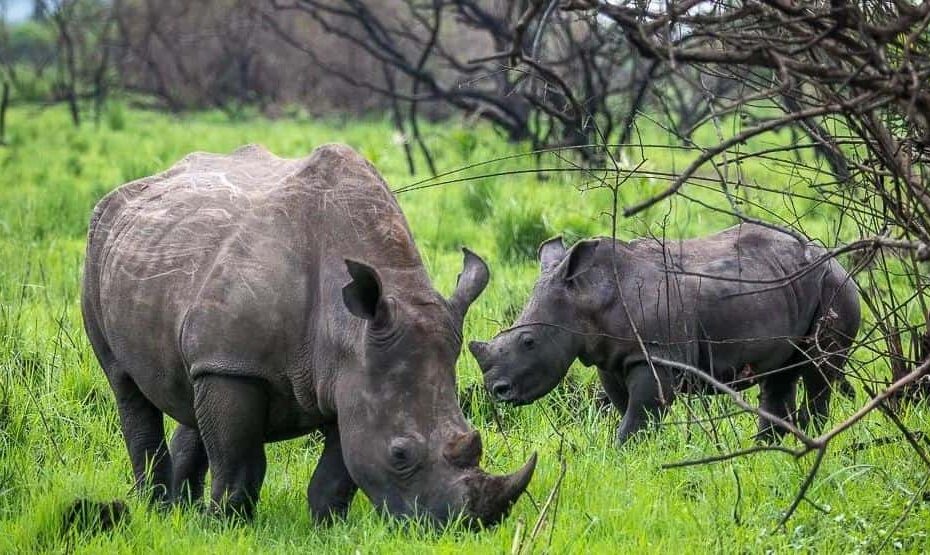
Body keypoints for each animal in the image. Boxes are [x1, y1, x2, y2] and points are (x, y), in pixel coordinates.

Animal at [81, 144, 536, 526]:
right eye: (400, 454)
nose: (460, 527)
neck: (348, 326)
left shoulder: (352, 378)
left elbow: (338, 470)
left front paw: (327, 527)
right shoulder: (239, 366)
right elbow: (239, 461)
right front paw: (226, 526)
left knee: (190, 388)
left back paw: (181, 511)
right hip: (98, 242)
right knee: (126, 386)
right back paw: (157, 508)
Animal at [470, 224, 860, 445]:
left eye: (529, 342)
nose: (497, 391)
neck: (586, 295)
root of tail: (836, 260)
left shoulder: (656, 355)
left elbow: (641, 411)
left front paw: (624, 454)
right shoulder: (611, 357)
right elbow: (626, 407)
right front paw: (635, 454)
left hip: (833, 286)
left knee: (819, 369)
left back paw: (809, 437)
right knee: (781, 374)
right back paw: (768, 447)